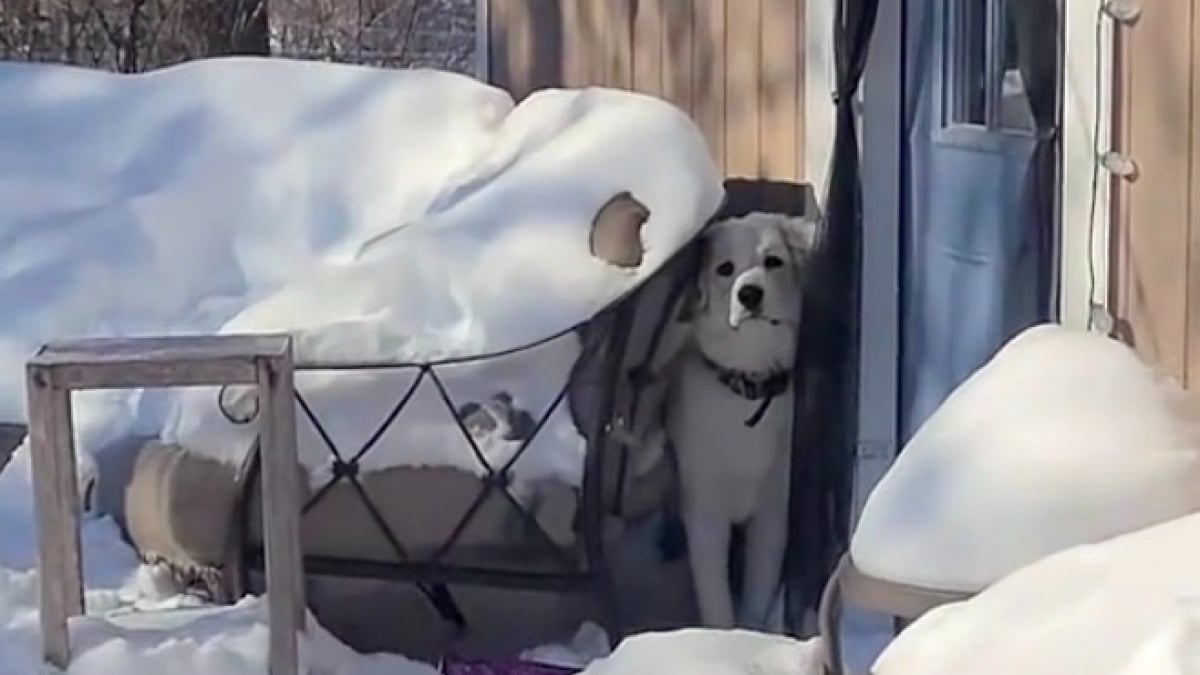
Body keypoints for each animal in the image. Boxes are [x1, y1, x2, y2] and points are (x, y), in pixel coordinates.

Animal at [648, 208, 825, 624]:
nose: (749, 294)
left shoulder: (773, 513)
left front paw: (753, 630)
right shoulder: (705, 512)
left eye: (773, 261)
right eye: (724, 269)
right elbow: (715, 598)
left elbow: (758, 591)